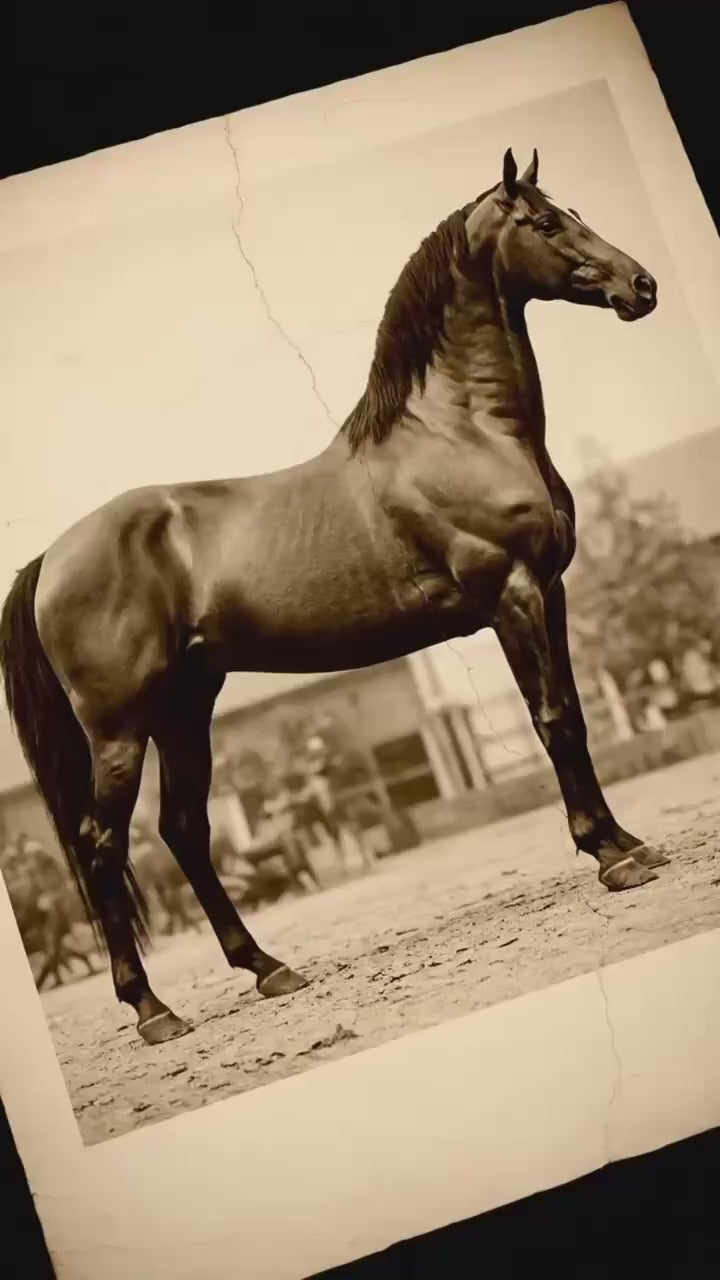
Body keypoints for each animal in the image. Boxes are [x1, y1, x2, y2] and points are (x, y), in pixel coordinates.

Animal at [0, 147, 669, 1047]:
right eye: (542, 223)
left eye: (573, 211)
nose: (642, 286)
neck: (456, 430)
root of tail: (50, 557)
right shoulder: (513, 597)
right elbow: (554, 720)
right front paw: (613, 856)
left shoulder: (549, 594)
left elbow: (575, 716)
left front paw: (627, 840)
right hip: (120, 728)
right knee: (103, 846)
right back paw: (154, 1011)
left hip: (186, 704)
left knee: (184, 830)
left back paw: (268, 969)